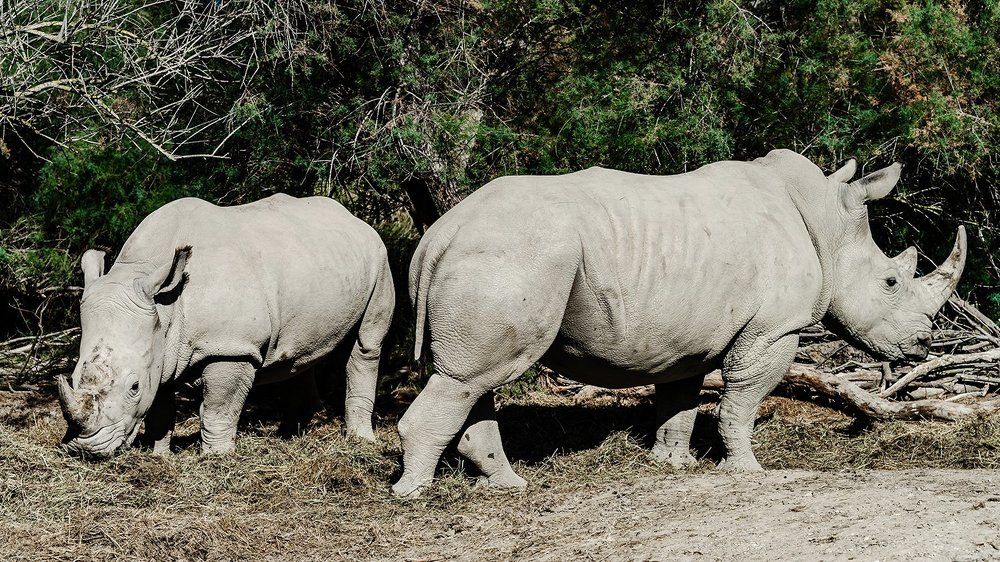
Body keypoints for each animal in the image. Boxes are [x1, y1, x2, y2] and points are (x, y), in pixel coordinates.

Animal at [59, 194, 395, 458]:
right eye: (73, 377)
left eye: (133, 387)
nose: (86, 449)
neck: (166, 304)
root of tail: (353, 218)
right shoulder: (160, 349)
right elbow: (160, 407)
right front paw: (159, 455)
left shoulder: (232, 346)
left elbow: (219, 407)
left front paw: (217, 457)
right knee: (301, 354)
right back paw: (288, 437)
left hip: (379, 257)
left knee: (366, 344)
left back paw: (359, 441)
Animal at [392, 149, 966, 496]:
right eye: (890, 283)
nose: (922, 344)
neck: (826, 222)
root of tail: (437, 235)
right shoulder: (774, 329)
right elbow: (740, 401)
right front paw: (747, 470)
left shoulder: (688, 334)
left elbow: (681, 400)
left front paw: (673, 464)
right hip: (511, 256)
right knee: (471, 377)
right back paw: (416, 494)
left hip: (497, 256)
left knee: (469, 379)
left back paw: (507, 485)